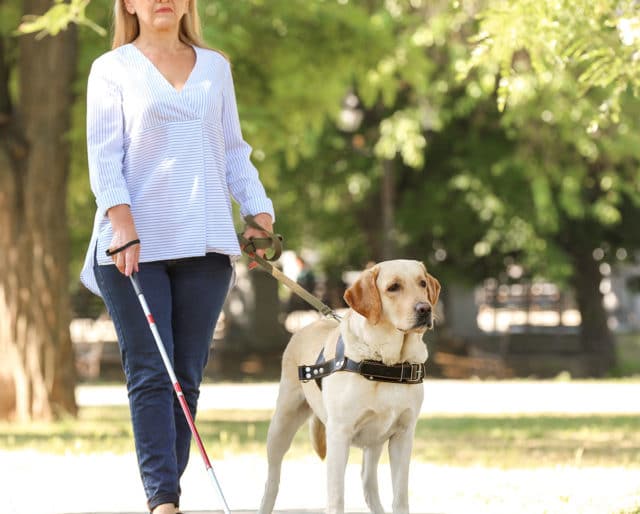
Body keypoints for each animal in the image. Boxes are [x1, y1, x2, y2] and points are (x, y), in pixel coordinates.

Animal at [256, 260, 440, 512]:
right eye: (393, 287)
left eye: (422, 283)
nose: (425, 309)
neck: (385, 363)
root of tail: (308, 326)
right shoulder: (339, 434)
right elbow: (336, 498)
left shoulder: (403, 435)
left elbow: (400, 498)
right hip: (281, 425)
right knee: (271, 483)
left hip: (375, 441)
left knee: (368, 483)